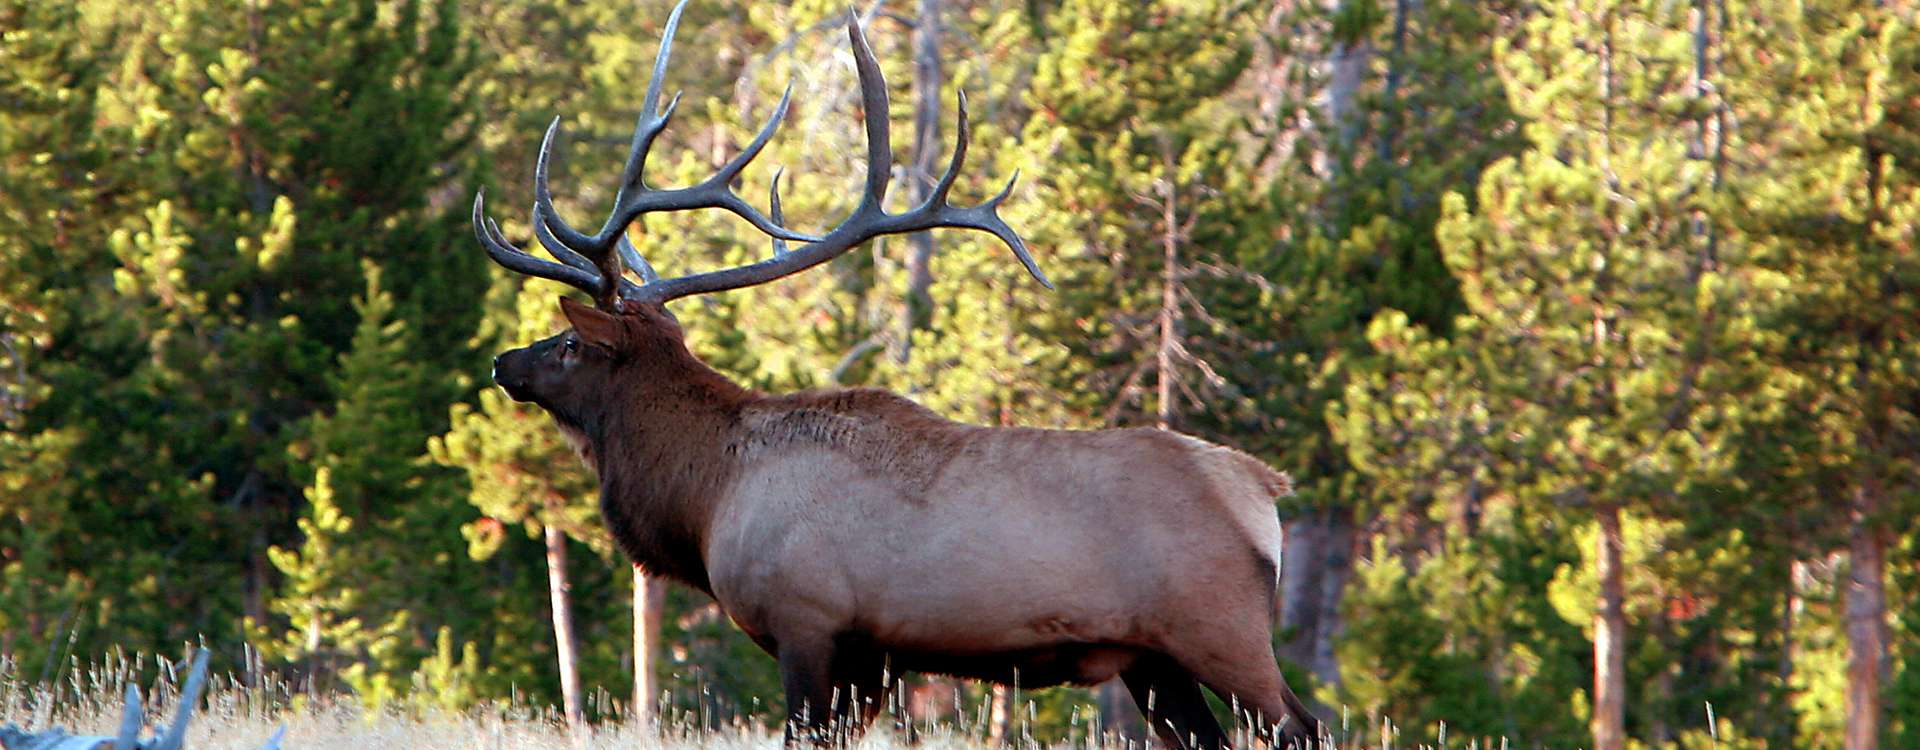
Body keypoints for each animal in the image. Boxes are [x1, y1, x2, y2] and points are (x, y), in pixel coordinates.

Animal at [473, 4, 1323, 748]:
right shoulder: (873, 657)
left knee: (1302, 725)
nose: (504, 361)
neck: (706, 496)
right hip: (1151, 661)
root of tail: (1264, 491)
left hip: (1219, 628)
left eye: (569, 344)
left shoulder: (809, 622)